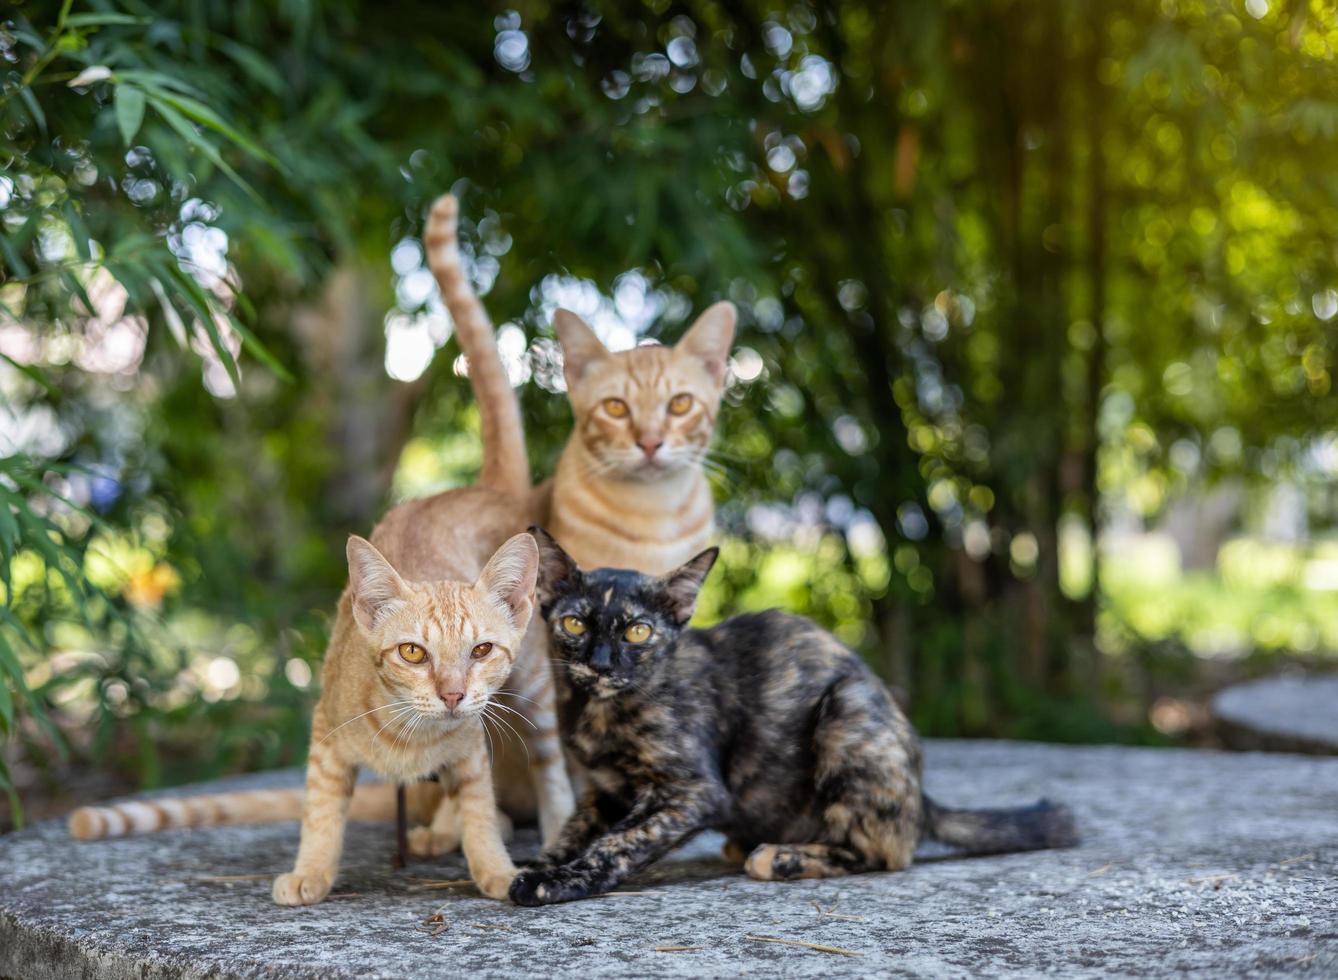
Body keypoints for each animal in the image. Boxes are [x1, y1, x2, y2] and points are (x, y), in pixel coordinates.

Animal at [505, 532, 1081, 905]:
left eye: (637, 632)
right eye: (575, 624)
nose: (601, 663)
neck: (600, 711)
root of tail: (921, 794)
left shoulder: (693, 791)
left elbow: (618, 842)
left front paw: (559, 881)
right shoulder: (605, 789)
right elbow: (575, 829)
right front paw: (541, 863)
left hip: (846, 713)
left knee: (888, 851)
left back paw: (780, 857)